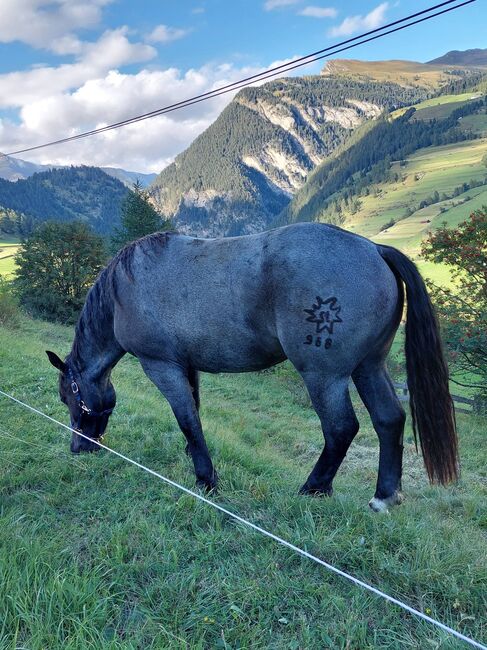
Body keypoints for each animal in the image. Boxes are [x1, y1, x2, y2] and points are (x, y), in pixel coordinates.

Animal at [45, 224, 458, 512]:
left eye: (68, 396)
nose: (79, 448)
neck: (124, 290)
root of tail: (374, 249)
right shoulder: (187, 365)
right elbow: (195, 413)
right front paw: (194, 459)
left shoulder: (161, 366)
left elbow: (187, 418)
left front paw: (206, 480)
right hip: (368, 367)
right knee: (389, 419)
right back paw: (384, 496)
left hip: (325, 377)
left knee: (341, 428)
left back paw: (313, 488)